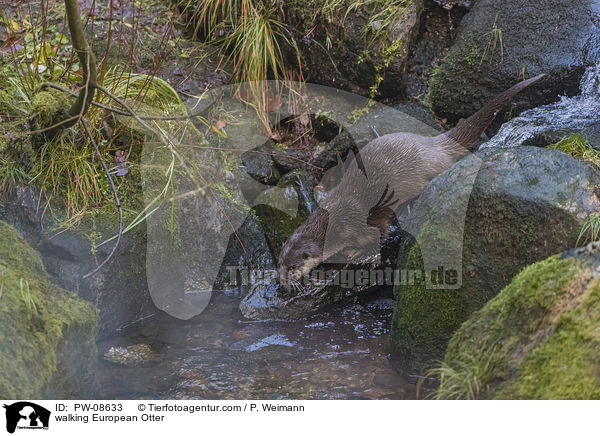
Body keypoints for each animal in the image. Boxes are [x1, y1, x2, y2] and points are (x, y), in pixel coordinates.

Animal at [278, 73, 548, 288]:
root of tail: (435, 144)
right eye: (279, 262)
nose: (281, 281)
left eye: (291, 267)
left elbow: (377, 233)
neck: (333, 221)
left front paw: (354, 252)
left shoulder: (357, 223)